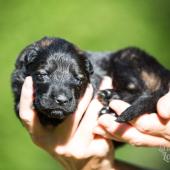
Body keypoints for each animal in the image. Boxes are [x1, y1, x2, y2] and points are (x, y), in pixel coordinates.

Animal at [11, 36, 170, 125]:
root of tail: (164, 73)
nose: (62, 100)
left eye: (78, 79)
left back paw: (111, 97)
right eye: (43, 75)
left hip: (126, 58)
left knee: (142, 91)